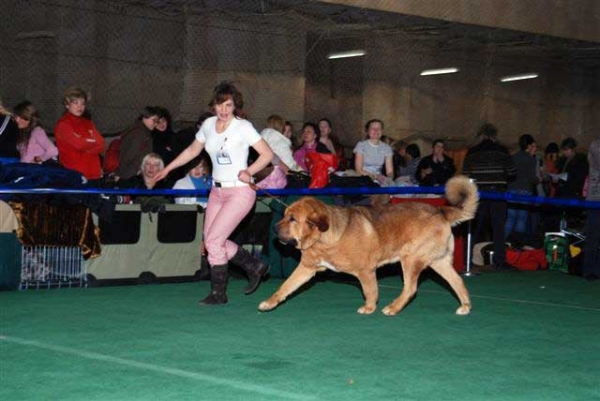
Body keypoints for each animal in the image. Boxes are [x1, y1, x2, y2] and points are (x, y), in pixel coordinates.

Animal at [258, 176, 478, 316]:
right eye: (285, 216)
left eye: (293, 219)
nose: (275, 229)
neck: (325, 238)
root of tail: (442, 212)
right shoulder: (306, 268)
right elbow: (285, 286)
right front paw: (269, 303)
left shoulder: (365, 270)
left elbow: (370, 291)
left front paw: (369, 308)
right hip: (438, 262)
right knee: (457, 281)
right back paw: (465, 306)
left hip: (410, 259)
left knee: (411, 288)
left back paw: (393, 308)